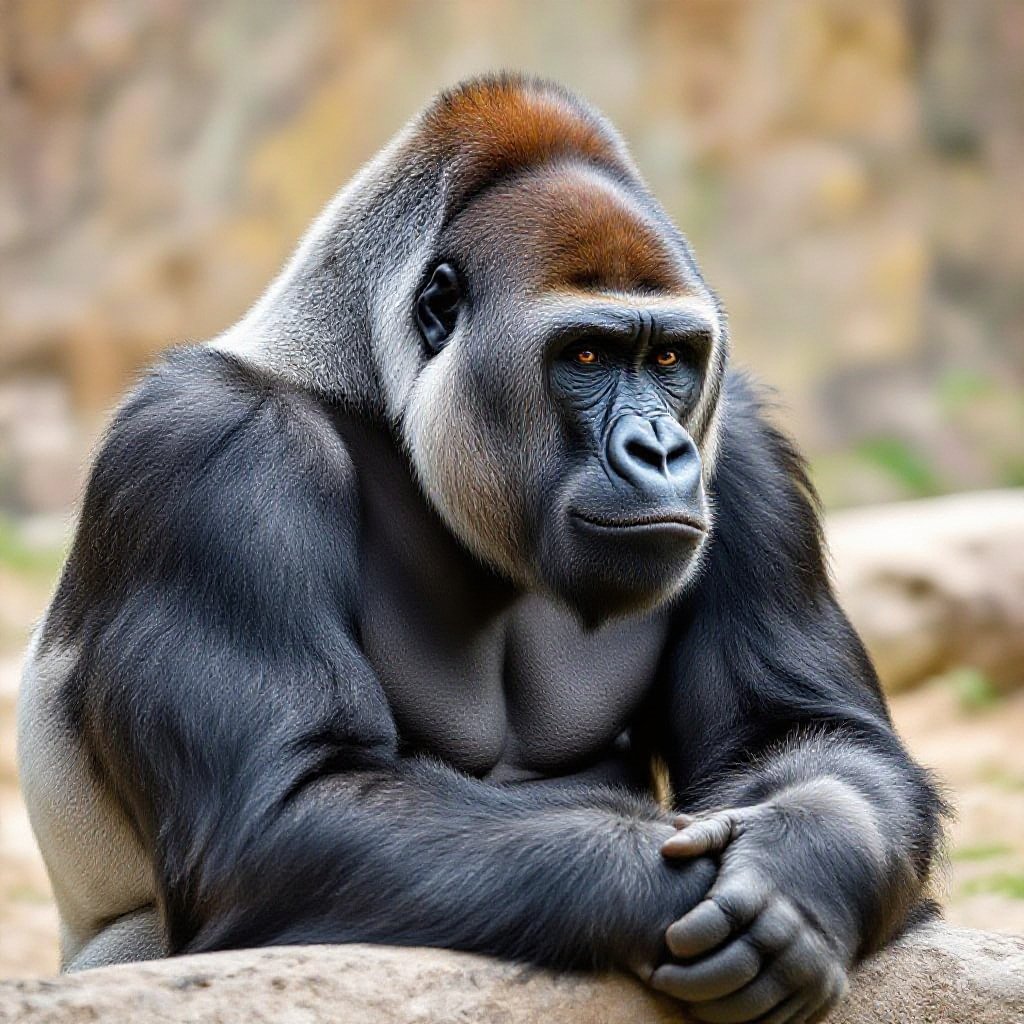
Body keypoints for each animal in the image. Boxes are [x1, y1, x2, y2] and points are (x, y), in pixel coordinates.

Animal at [18, 74, 944, 1023]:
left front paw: (804, 866)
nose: (661, 452)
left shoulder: (745, 448)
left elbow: (807, 735)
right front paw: (671, 884)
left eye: (671, 360)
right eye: (587, 355)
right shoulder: (213, 445)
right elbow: (285, 806)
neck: (371, 387)